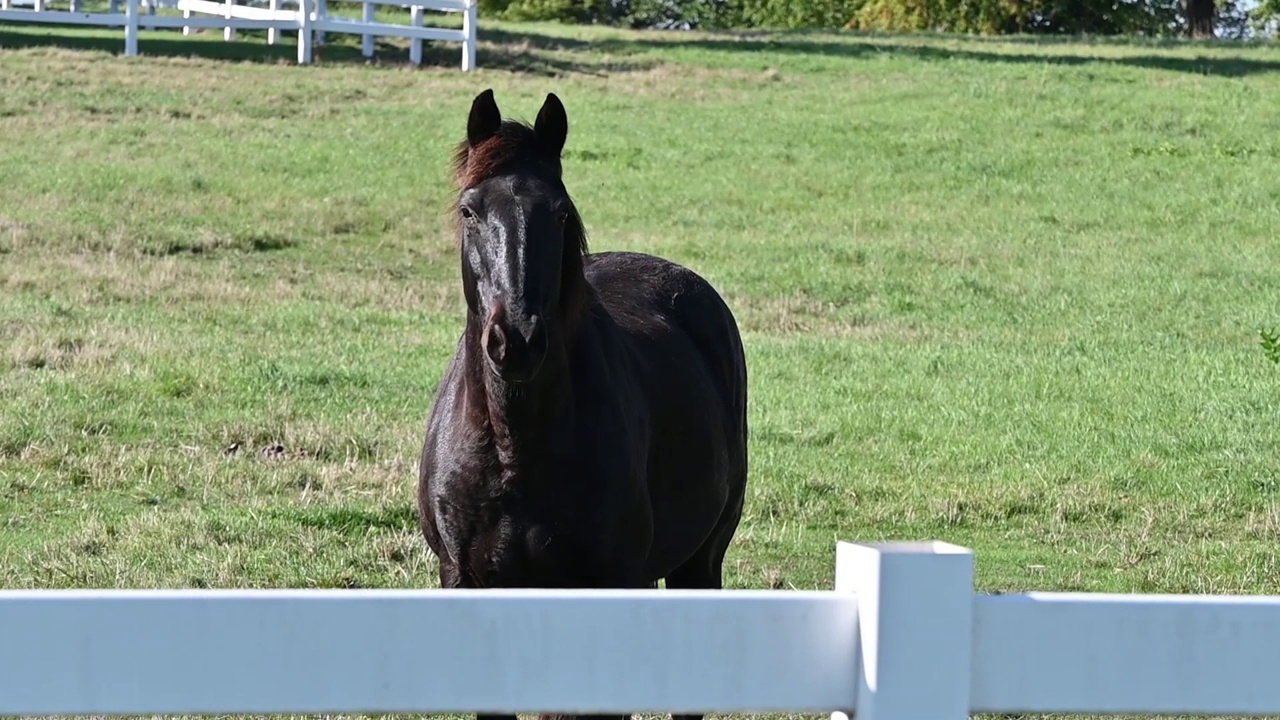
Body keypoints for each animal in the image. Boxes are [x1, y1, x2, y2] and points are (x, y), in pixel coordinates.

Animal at [414, 90, 747, 720]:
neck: (516, 451)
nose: (516, 339)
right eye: (470, 211)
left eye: (561, 213)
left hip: (699, 563)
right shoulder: (468, 582)